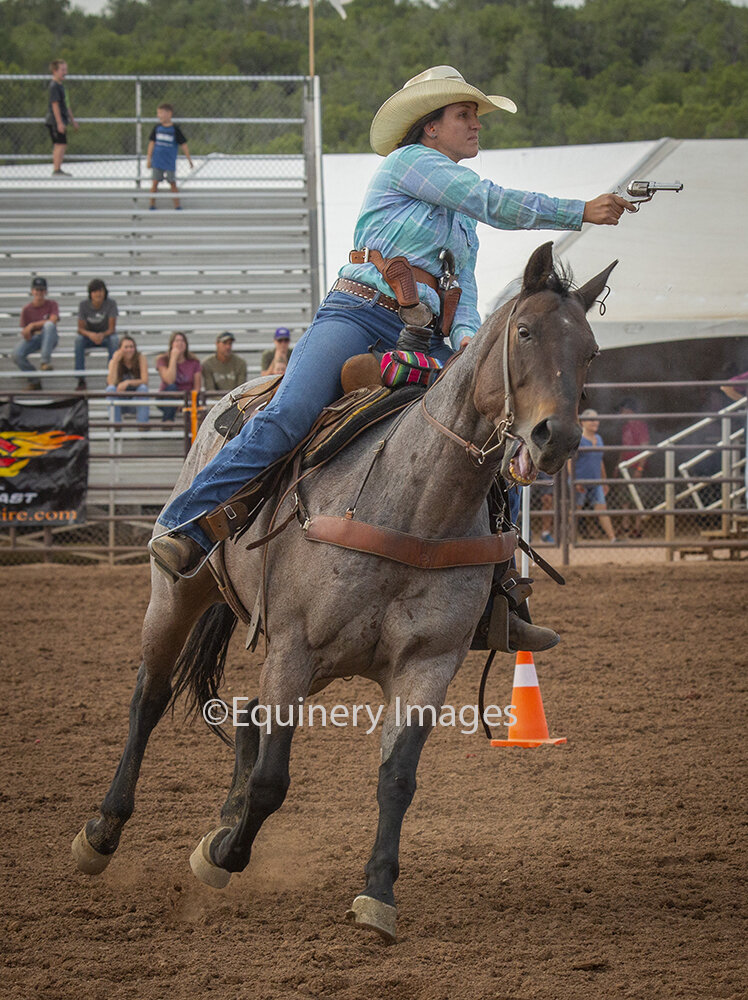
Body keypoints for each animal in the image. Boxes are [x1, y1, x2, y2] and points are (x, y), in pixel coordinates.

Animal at [71, 242, 615, 944]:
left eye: (591, 350)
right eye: (524, 332)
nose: (560, 437)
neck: (413, 509)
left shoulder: (426, 665)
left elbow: (397, 778)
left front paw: (377, 894)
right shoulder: (295, 649)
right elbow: (273, 780)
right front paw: (221, 855)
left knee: (247, 713)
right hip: (180, 597)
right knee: (150, 698)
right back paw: (102, 832)